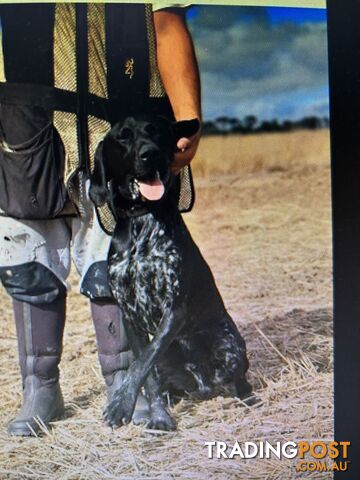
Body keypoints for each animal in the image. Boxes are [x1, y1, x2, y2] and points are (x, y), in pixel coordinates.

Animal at [89, 116, 252, 432]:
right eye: (123, 137)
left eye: (155, 131)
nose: (150, 154)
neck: (141, 221)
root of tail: (203, 385)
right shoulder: (129, 316)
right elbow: (146, 370)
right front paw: (158, 415)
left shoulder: (175, 309)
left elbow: (144, 360)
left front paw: (121, 405)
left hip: (230, 345)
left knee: (237, 380)